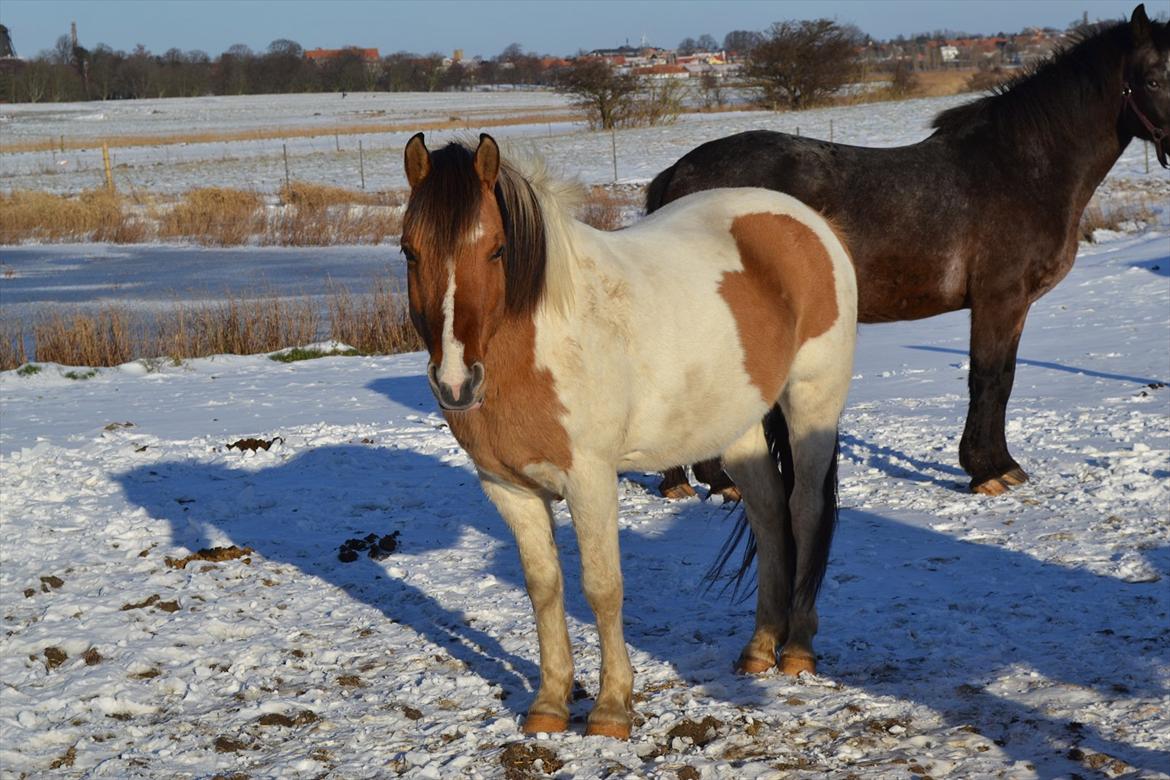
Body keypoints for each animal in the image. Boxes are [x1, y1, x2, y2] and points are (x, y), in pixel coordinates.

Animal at [402, 132, 861, 739]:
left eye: (497, 250)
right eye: (409, 251)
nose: (456, 382)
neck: (540, 343)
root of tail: (812, 223)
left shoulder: (590, 479)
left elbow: (602, 587)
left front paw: (611, 709)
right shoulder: (508, 489)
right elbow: (543, 588)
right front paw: (549, 705)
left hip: (812, 403)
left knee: (805, 510)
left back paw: (798, 649)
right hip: (736, 426)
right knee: (768, 516)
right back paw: (760, 647)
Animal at [655, 4, 1165, 493]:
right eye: (1155, 79)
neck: (1020, 168)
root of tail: (680, 172)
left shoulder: (1014, 305)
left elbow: (1004, 377)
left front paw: (999, 464)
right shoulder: (999, 300)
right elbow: (990, 378)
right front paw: (988, 470)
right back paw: (707, 481)